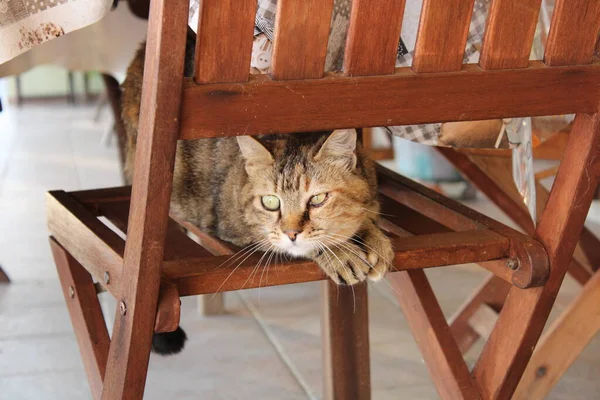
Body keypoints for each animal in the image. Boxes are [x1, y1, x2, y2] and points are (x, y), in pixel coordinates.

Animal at [120, 34, 394, 354]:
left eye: (317, 199)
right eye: (270, 202)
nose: (291, 233)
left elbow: (365, 216)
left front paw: (374, 238)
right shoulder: (234, 227)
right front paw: (340, 252)